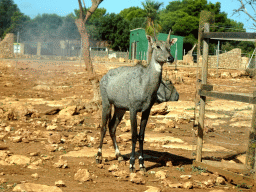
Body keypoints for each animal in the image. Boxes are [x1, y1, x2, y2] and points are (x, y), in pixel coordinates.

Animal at [96, 30, 178, 172]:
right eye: (157, 46)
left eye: (169, 47)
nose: (170, 58)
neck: (145, 83)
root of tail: (104, 77)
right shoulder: (133, 109)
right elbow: (134, 135)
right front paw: (132, 164)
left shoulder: (146, 110)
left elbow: (141, 135)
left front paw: (142, 164)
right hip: (107, 103)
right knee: (104, 127)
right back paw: (99, 156)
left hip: (120, 108)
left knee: (112, 127)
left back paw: (119, 156)